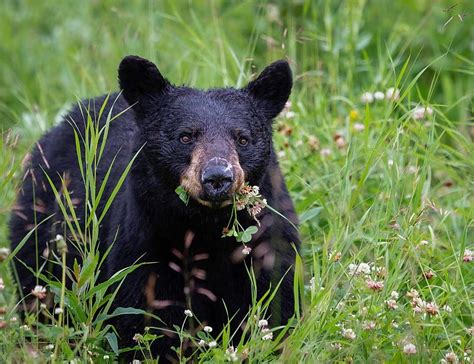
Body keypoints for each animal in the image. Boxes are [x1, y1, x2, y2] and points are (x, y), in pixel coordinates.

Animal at [9, 55, 300, 360]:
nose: (217, 177)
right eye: (185, 136)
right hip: (40, 224)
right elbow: (148, 317)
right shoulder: (145, 243)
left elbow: (274, 303)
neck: (205, 228)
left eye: (242, 138)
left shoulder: (267, 241)